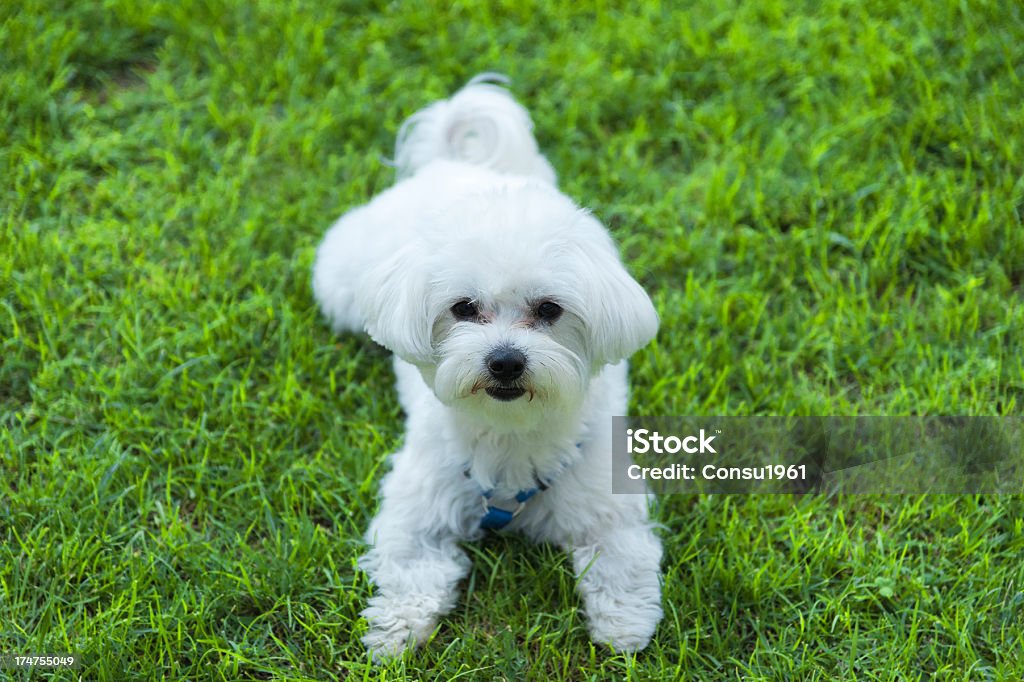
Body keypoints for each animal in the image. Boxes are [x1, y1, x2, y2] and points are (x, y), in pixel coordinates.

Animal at [311, 71, 663, 655]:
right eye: (463, 308)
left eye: (549, 310)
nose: (504, 362)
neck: (509, 434)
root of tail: (451, 162)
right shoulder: (418, 508)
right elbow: (411, 568)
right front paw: (396, 631)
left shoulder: (606, 500)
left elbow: (622, 560)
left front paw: (624, 626)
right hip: (339, 283)